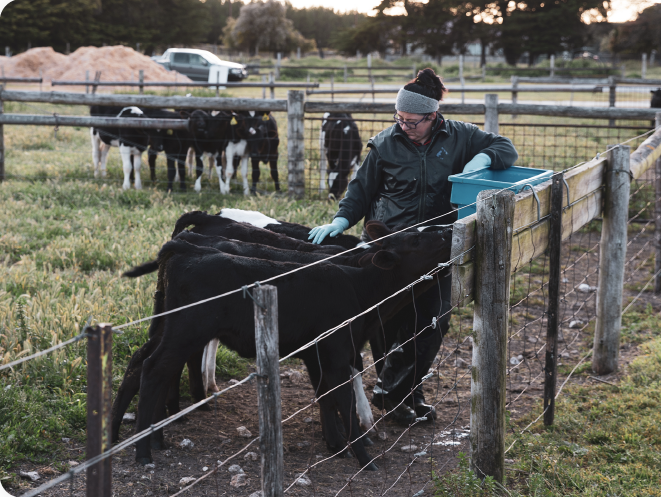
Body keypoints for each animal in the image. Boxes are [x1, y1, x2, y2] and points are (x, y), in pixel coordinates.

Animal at [134, 223, 454, 466]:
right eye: (415, 239)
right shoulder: (336, 352)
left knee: (154, 366)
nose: (446, 231)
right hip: (187, 330)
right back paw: (143, 451)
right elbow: (343, 399)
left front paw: (336, 444)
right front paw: (363, 456)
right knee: (153, 369)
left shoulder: (318, 354)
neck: (357, 285)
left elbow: (325, 395)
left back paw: (156, 438)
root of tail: (189, 247)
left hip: (174, 329)